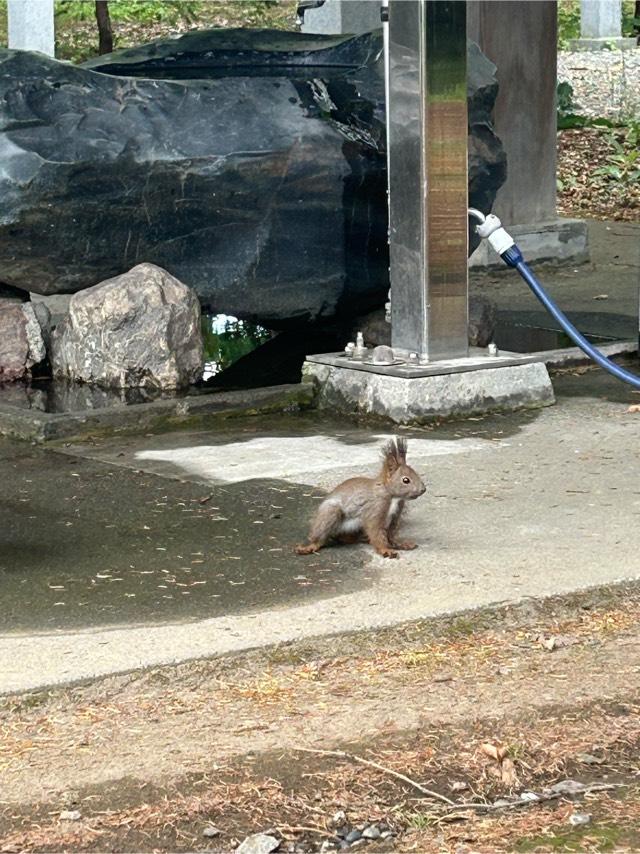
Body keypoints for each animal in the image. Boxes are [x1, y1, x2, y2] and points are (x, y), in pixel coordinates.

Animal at [296, 442, 428, 560]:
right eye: (406, 480)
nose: (423, 489)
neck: (392, 496)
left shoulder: (395, 515)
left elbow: (391, 534)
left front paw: (400, 544)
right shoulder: (375, 509)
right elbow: (375, 531)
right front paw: (385, 550)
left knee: (345, 538)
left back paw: (362, 539)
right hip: (330, 513)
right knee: (322, 536)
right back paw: (312, 545)